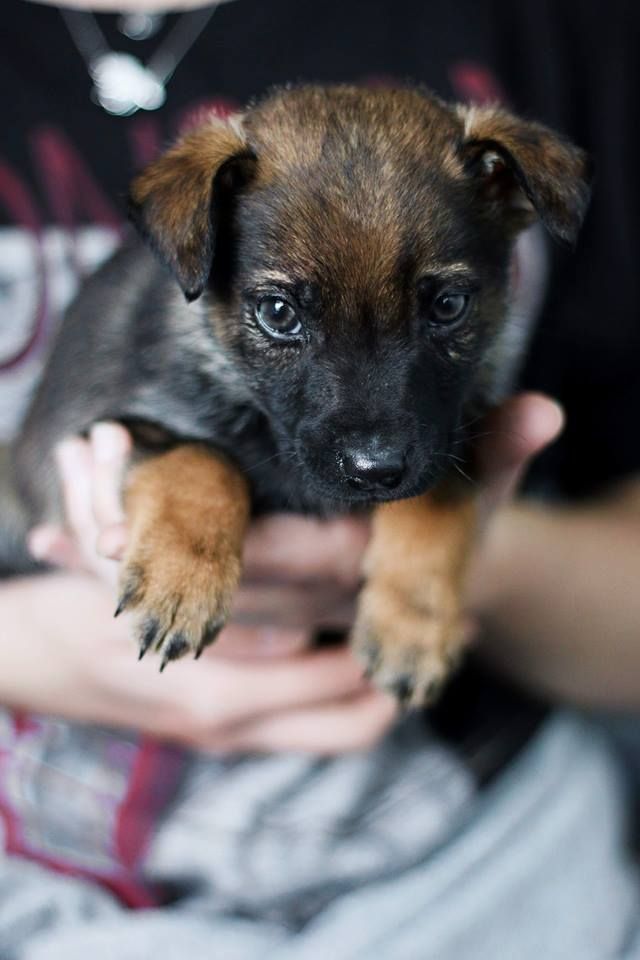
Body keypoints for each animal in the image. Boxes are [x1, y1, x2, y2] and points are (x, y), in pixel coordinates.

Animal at [1, 85, 590, 706]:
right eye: (279, 314)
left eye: (449, 305)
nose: (374, 471)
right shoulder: (108, 427)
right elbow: (201, 459)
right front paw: (180, 584)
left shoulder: (449, 442)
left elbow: (435, 502)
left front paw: (413, 625)